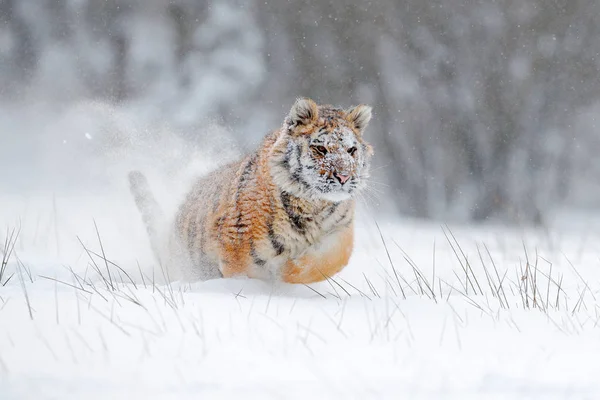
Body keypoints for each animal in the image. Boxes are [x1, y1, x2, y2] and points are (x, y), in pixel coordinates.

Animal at [129, 98, 372, 282]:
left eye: (351, 150)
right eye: (321, 149)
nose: (343, 176)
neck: (314, 206)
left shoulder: (340, 229)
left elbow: (330, 259)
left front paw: (286, 272)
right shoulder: (239, 253)